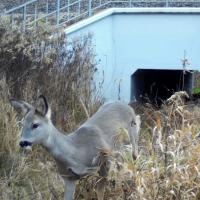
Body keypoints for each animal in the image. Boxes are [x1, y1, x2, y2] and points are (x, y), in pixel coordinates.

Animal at [9, 95, 141, 200]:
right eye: (22, 124)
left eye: (35, 124)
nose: (22, 142)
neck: (77, 153)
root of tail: (128, 107)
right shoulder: (68, 177)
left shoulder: (105, 163)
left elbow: (100, 193)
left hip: (132, 145)